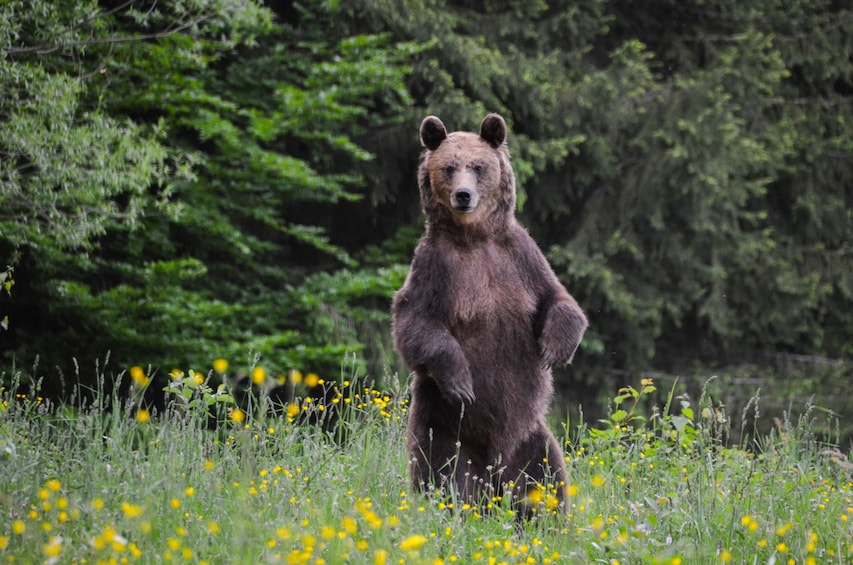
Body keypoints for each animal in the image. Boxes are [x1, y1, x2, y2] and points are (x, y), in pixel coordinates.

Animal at [392, 112, 584, 512]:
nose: (463, 195)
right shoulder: (435, 268)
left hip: (531, 437)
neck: (475, 238)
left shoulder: (519, 259)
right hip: (442, 426)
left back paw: (546, 516)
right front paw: (462, 382)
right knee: (443, 474)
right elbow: (416, 324)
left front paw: (554, 349)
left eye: (478, 166)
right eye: (449, 167)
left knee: (546, 478)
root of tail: (495, 474)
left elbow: (558, 299)